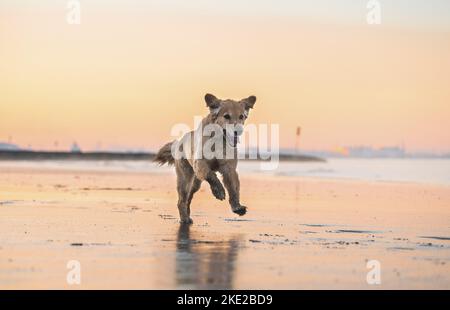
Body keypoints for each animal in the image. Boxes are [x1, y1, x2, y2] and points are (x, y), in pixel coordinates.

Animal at [154, 93, 255, 224]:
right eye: (226, 116)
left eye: (241, 116)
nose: (238, 131)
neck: (218, 141)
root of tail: (178, 141)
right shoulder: (200, 163)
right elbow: (211, 175)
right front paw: (219, 191)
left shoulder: (229, 168)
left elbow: (233, 188)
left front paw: (237, 207)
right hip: (185, 178)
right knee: (181, 200)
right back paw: (184, 219)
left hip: (195, 183)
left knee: (189, 197)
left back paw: (187, 214)